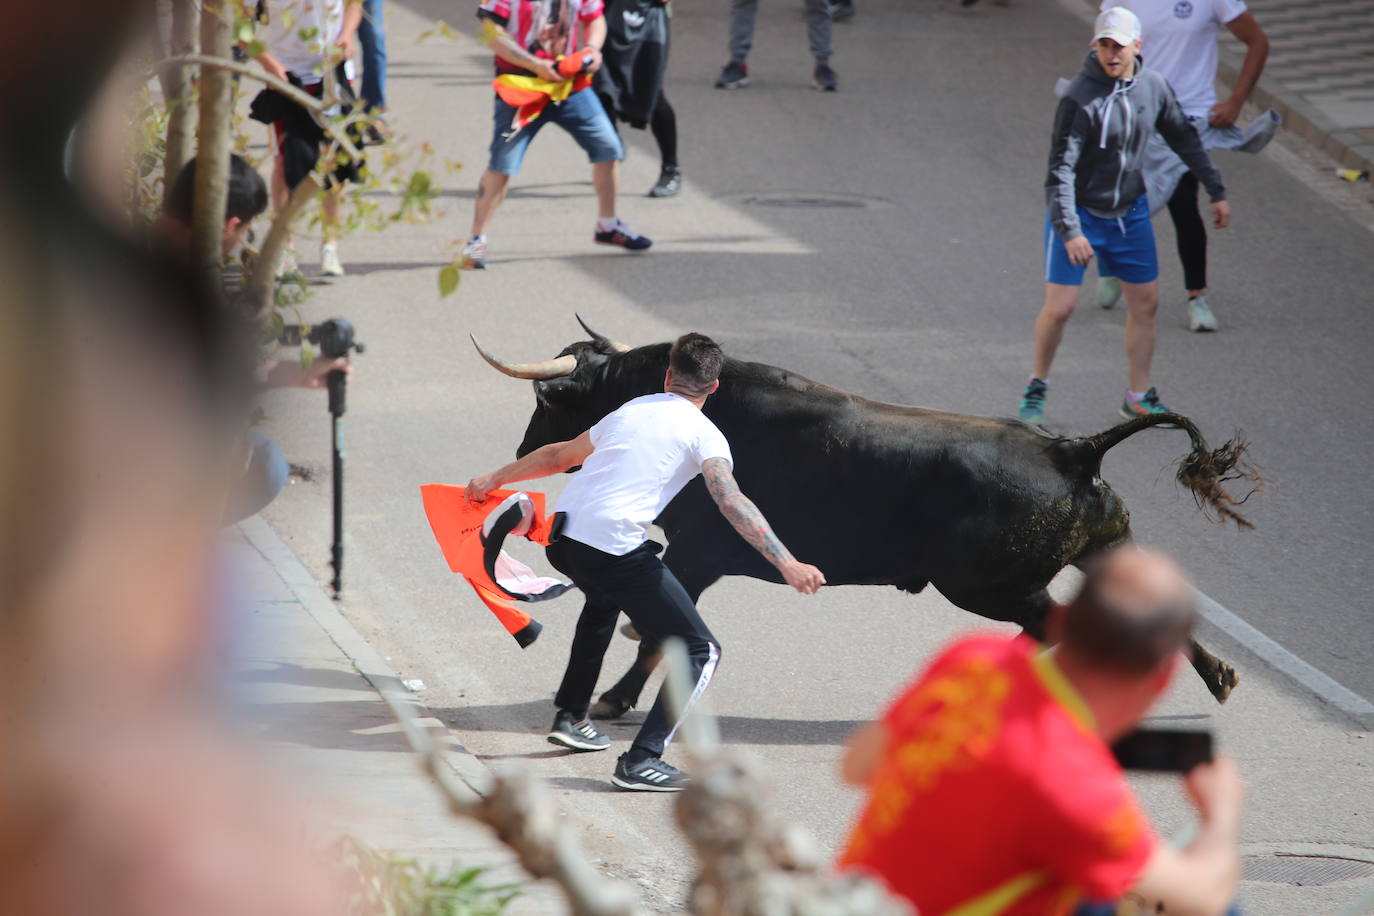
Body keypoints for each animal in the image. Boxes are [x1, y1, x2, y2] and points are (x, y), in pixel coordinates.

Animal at [480, 333, 1258, 708]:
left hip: (989, 588)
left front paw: (614, 700)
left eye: (549, 401)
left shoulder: (696, 556)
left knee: (1056, 628)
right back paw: (1219, 677)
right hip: (1095, 551)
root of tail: (1072, 449)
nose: (520, 453)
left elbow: (664, 635)